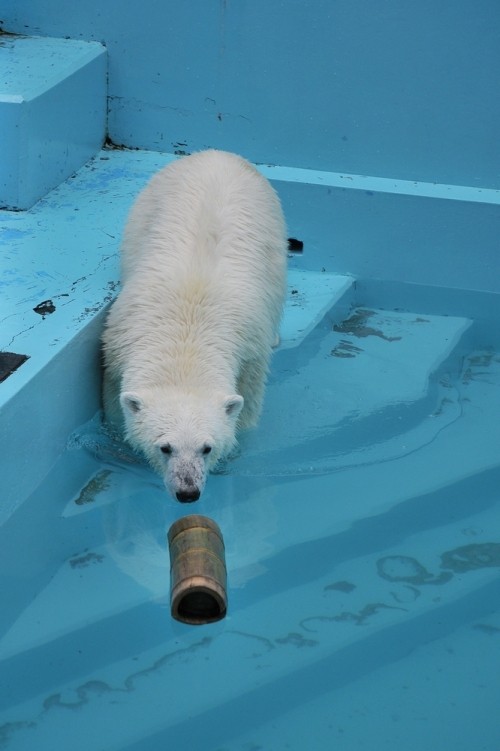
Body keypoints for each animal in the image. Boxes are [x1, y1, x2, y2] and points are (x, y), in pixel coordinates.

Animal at [102, 151, 286, 506]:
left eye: (206, 447)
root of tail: (217, 154)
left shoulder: (250, 352)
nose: (188, 492)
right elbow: (114, 403)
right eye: (165, 447)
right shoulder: (118, 340)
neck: (187, 337)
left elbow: (247, 406)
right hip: (144, 209)